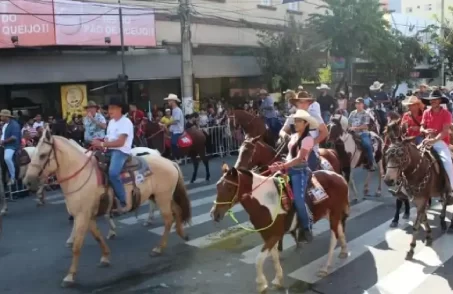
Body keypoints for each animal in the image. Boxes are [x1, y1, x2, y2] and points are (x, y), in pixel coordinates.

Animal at [23, 127, 191, 288]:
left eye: (43, 155)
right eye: (33, 154)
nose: (28, 182)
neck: (81, 175)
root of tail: (168, 161)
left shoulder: (82, 216)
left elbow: (77, 246)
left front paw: (70, 276)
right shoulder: (88, 216)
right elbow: (97, 236)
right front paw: (105, 256)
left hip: (162, 197)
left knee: (168, 219)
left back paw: (159, 247)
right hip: (161, 196)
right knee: (177, 211)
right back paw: (182, 234)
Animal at [210, 164, 348, 292]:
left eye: (229, 188)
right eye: (217, 187)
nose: (214, 214)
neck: (265, 200)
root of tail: (339, 177)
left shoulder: (275, 234)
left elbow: (258, 259)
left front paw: (261, 284)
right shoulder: (267, 235)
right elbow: (274, 256)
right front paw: (278, 279)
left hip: (334, 214)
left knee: (334, 238)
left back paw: (325, 267)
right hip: (331, 214)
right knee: (340, 231)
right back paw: (344, 251)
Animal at [382, 118, 452, 258]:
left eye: (401, 154)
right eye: (387, 154)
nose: (388, 180)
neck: (418, 171)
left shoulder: (422, 200)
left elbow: (416, 225)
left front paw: (411, 249)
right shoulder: (417, 200)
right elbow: (423, 219)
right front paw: (429, 236)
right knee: (444, 201)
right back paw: (442, 221)